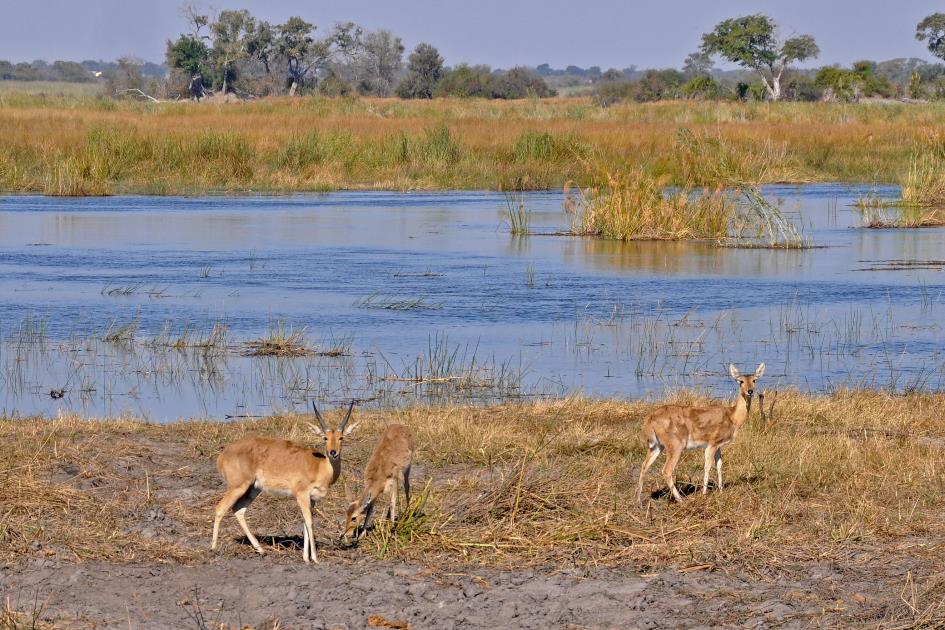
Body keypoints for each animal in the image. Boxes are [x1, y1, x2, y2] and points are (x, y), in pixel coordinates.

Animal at [210, 402, 358, 564]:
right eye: (325, 438)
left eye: (341, 437)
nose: (333, 452)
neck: (319, 466)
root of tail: (223, 454)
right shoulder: (301, 495)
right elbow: (310, 522)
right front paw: (314, 558)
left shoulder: (311, 499)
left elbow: (305, 523)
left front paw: (305, 558)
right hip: (237, 487)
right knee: (220, 509)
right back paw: (213, 548)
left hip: (253, 489)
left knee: (238, 510)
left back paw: (260, 550)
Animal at [636, 362, 764, 506]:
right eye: (740, 381)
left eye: (754, 380)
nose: (750, 391)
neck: (732, 417)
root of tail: (650, 419)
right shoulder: (712, 443)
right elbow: (707, 466)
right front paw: (704, 494)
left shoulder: (718, 445)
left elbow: (719, 465)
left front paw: (720, 491)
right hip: (675, 445)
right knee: (666, 470)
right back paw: (681, 500)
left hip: (657, 446)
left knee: (644, 465)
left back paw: (639, 500)